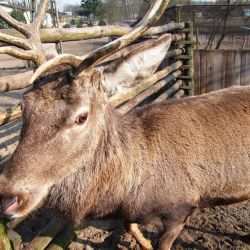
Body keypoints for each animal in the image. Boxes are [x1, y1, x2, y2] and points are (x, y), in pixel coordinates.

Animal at [0, 0, 249, 250]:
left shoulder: (182, 208)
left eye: (82, 116)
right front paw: (143, 242)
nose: (8, 198)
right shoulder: (132, 213)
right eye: (24, 105)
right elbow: (131, 226)